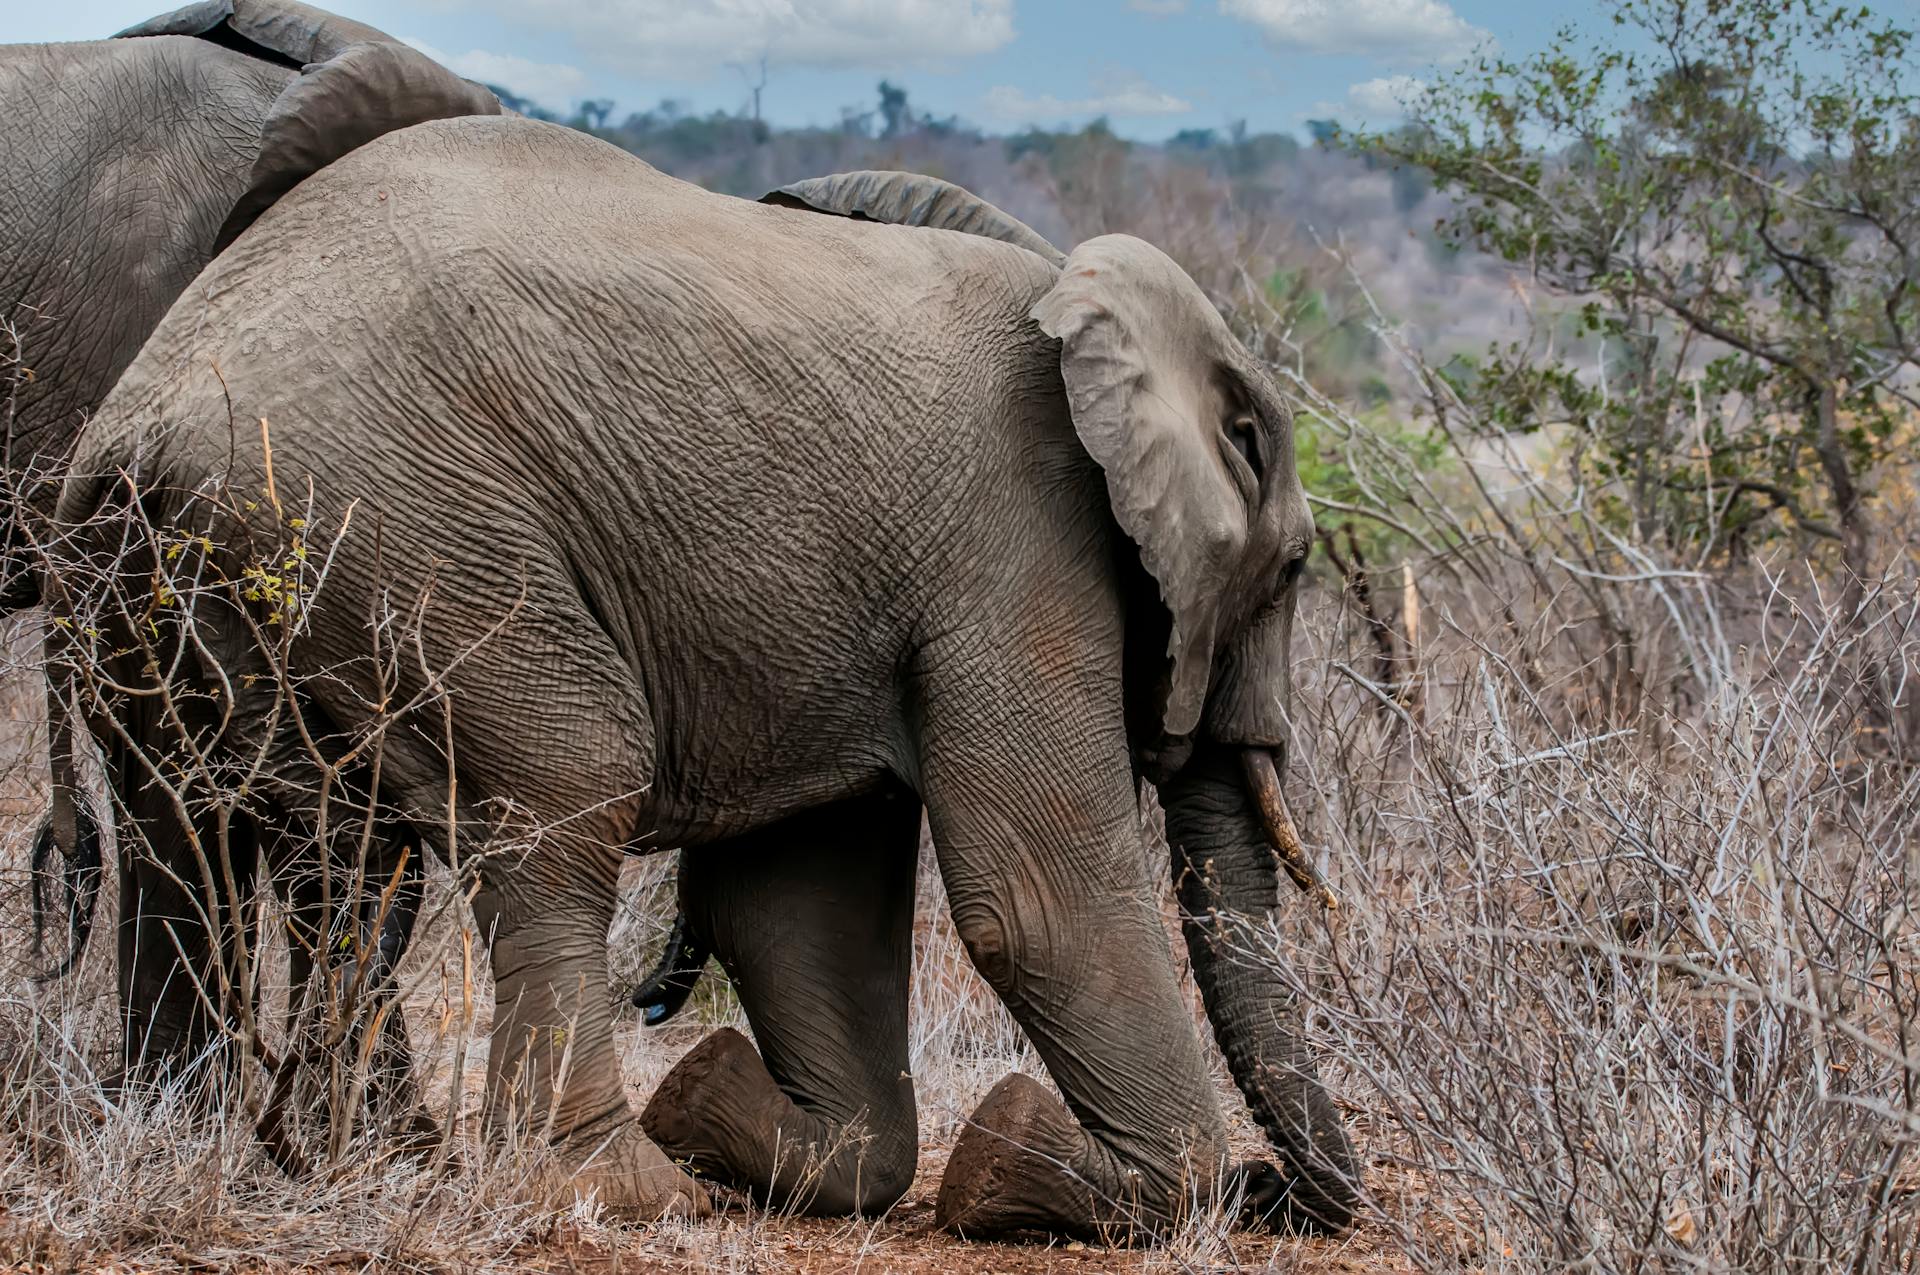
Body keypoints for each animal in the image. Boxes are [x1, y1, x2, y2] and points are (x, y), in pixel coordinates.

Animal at [48, 117, 1367, 1236]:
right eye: (1298, 566)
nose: (1275, 1193)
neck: (1079, 290)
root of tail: (134, 429)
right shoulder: (1020, 544)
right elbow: (1036, 897)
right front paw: (1017, 1163)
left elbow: (801, 914)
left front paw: (712, 1103)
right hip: (404, 524)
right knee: (565, 786)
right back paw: (611, 1190)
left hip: (190, 582)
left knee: (244, 842)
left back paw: (283, 1151)